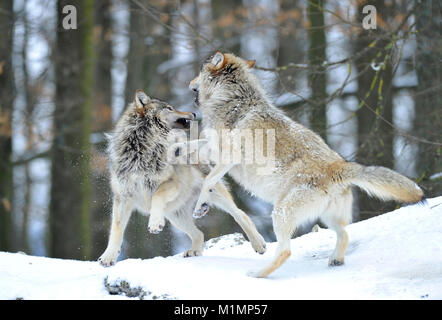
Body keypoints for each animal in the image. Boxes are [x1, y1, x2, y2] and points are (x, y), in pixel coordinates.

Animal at [99, 89, 266, 266]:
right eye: (169, 108)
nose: (193, 113)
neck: (142, 149)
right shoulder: (122, 197)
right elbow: (116, 230)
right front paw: (108, 257)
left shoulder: (172, 183)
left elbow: (156, 196)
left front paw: (155, 223)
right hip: (175, 216)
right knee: (199, 234)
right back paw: (194, 251)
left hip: (213, 196)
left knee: (240, 214)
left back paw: (259, 244)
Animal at [188, 52, 424, 278]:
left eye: (199, 70)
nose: (189, 83)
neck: (233, 99)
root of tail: (338, 166)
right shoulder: (213, 149)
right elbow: (195, 153)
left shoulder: (228, 157)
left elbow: (208, 180)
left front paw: (200, 207)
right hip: (327, 217)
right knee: (345, 234)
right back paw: (335, 260)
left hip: (280, 213)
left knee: (285, 251)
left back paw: (258, 274)